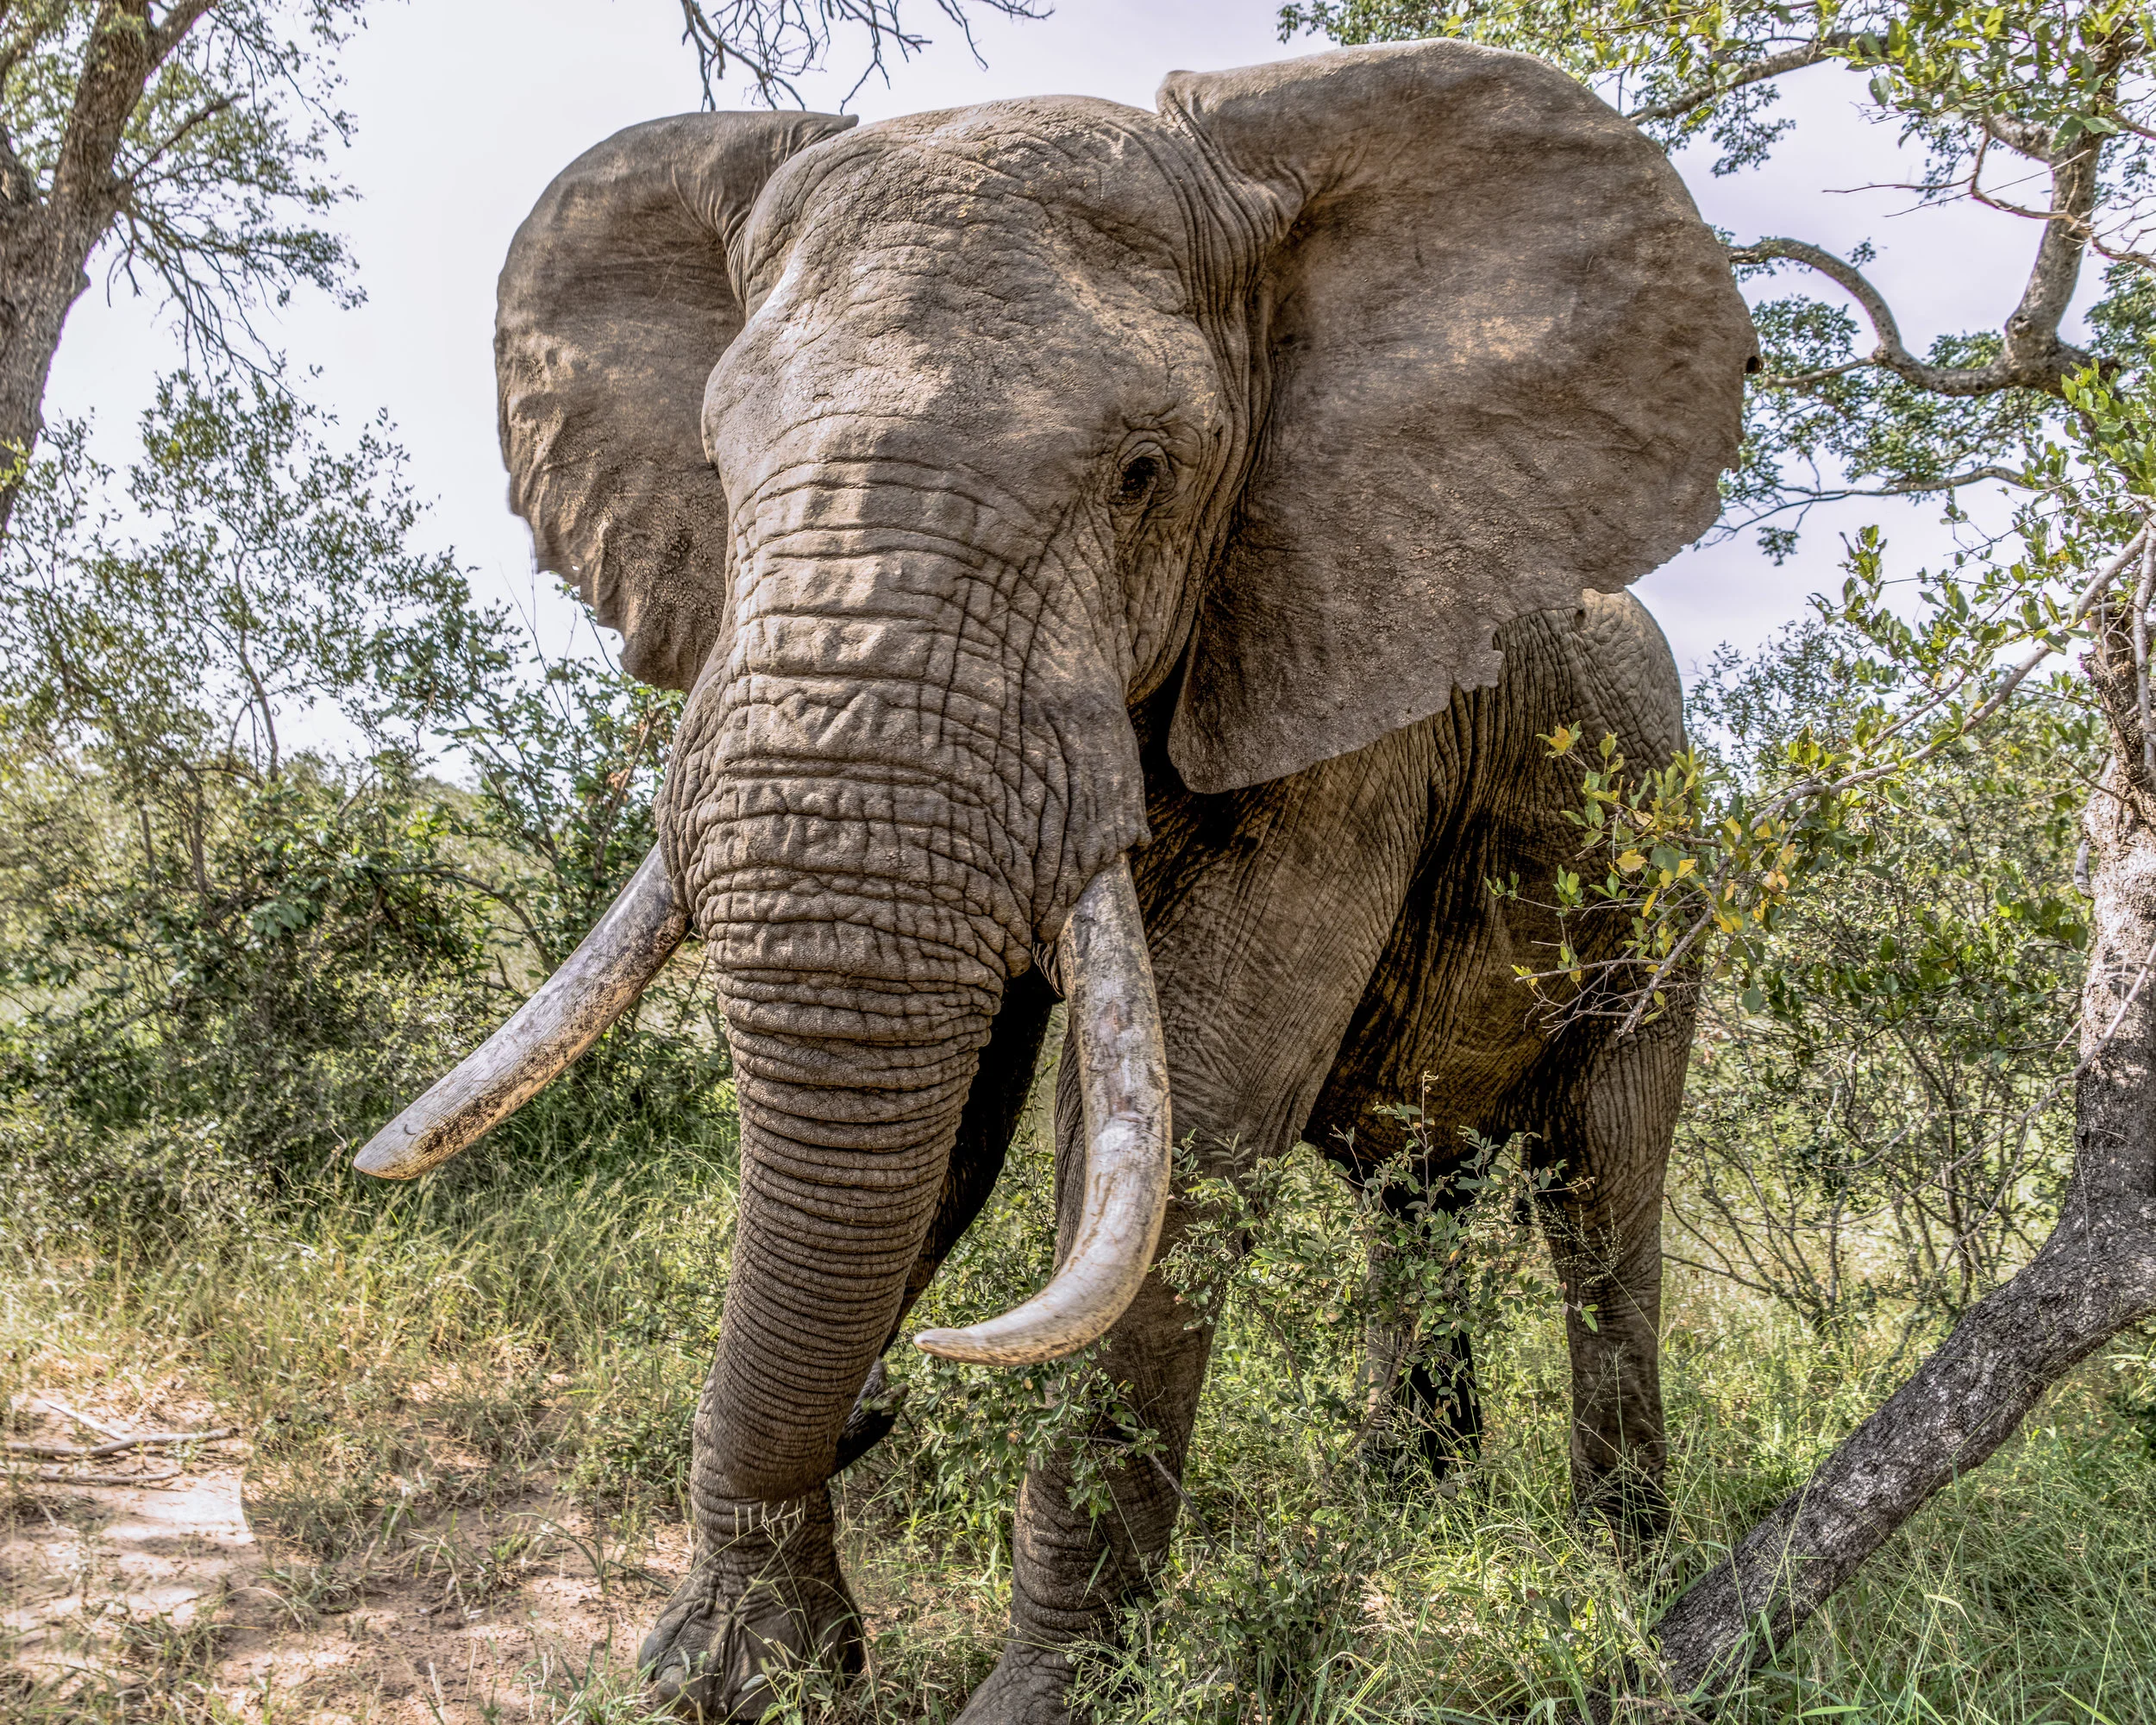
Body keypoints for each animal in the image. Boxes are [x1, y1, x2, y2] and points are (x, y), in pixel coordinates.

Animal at [355, 37, 1753, 1722]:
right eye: (714, 463)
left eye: (1146, 473)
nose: (885, 1405)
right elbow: (945, 1125)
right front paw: (742, 1675)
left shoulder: (1349, 686)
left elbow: (1177, 1126)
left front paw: (1027, 1701)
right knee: (1412, 1197)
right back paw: (1401, 1496)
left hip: (1665, 882)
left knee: (1603, 1196)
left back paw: (1624, 1570)